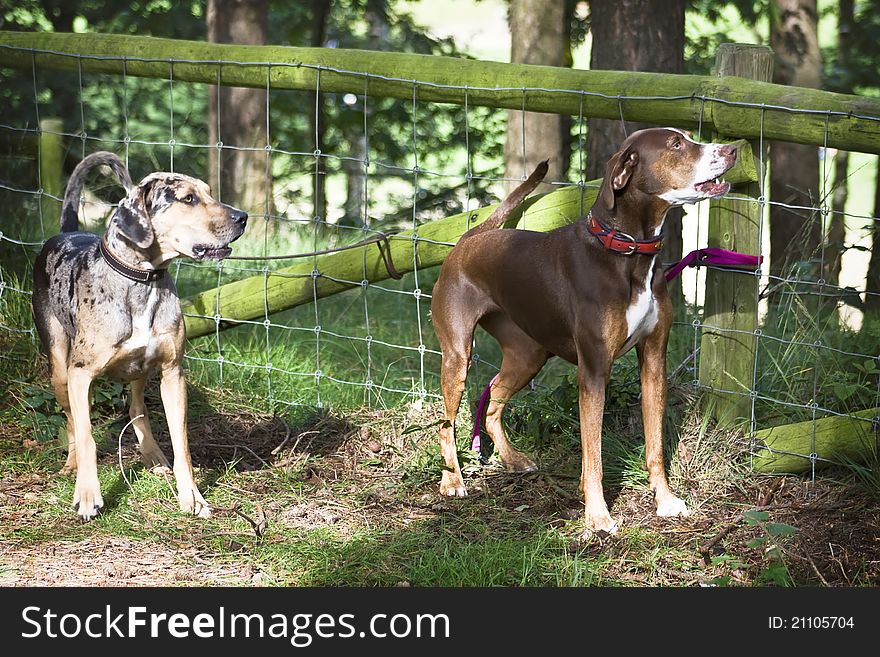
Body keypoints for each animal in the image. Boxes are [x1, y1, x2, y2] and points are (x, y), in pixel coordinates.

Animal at [432, 127, 736, 532]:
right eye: (676, 145)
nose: (733, 149)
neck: (627, 252)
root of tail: (469, 239)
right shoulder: (593, 370)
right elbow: (593, 455)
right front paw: (597, 514)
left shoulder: (654, 361)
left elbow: (655, 446)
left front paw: (666, 500)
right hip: (457, 356)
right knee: (447, 421)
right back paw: (452, 480)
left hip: (529, 355)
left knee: (494, 399)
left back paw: (513, 459)